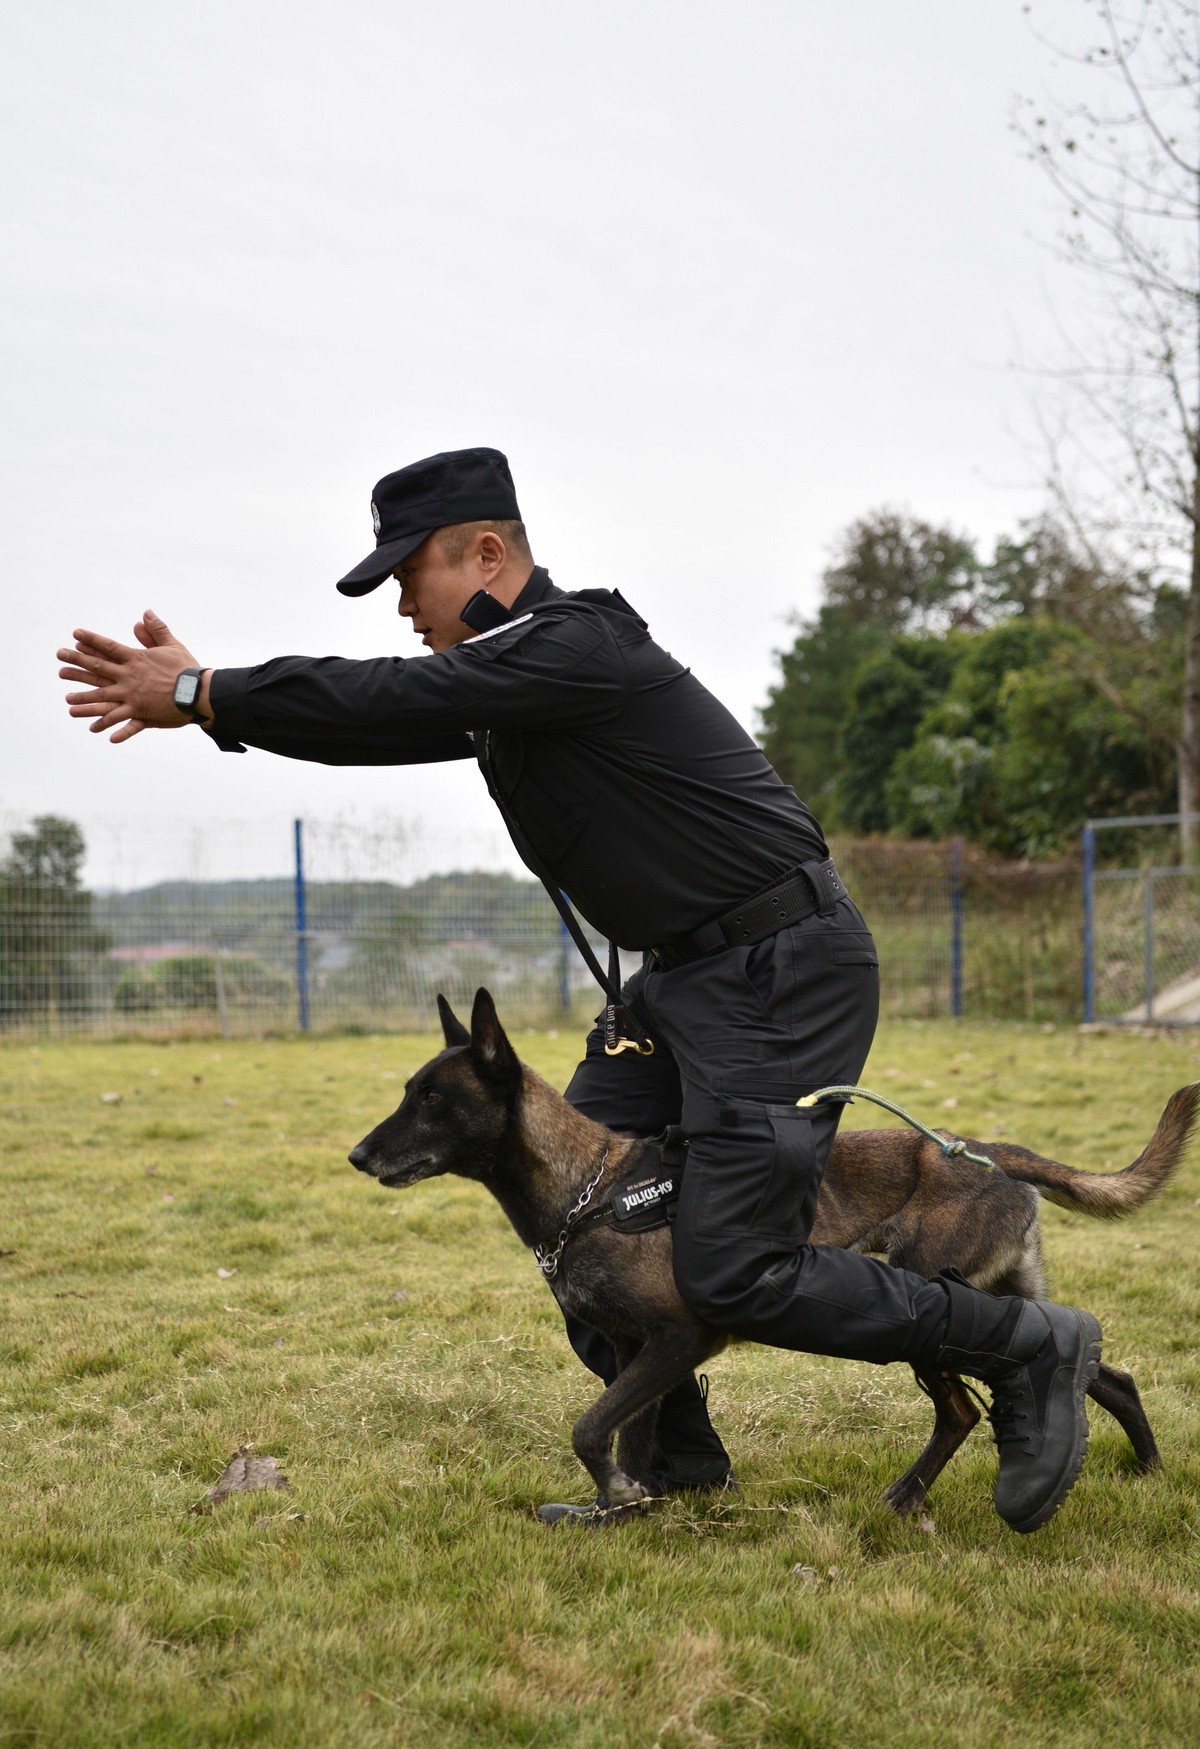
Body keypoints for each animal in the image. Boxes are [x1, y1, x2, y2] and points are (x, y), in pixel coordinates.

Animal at [348, 1000, 1196, 1518]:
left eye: (432, 1098)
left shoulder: (677, 1339)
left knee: (964, 1405)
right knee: (1098, 1370)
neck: (592, 1187)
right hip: (1004, 1290)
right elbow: (631, 1434)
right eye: (409, 1089)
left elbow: (592, 1427)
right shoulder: (634, 1348)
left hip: (930, 1294)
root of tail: (992, 1151)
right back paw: (1146, 1466)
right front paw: (625, 1509)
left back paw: (917, 1493)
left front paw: (615, 1491)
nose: (356, 1155)